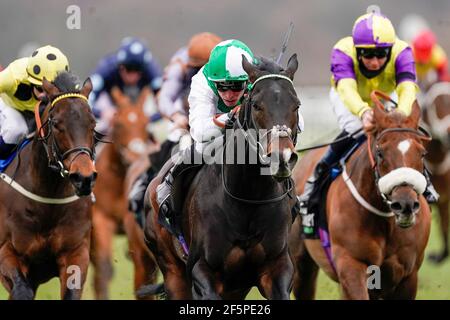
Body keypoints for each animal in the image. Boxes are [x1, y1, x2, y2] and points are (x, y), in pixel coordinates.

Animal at [0, 73, 96, 300]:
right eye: (57, 123)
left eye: (93, 123)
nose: (83, 177)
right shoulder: (7, 251)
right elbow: (21, 290)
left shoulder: (76, 252)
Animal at [143, 55, 298, 300]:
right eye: (257, 105)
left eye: (296, 105)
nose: (281, 157)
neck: (247, 199)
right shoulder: (202, 270)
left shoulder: (277, 267)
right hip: (172, 271)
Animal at [290, 95, 430, 300]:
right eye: (380, 153)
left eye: (422, 153)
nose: (405, 204)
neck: (385, 220)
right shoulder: (351, 265)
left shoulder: (408, 276)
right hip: (302, 264)